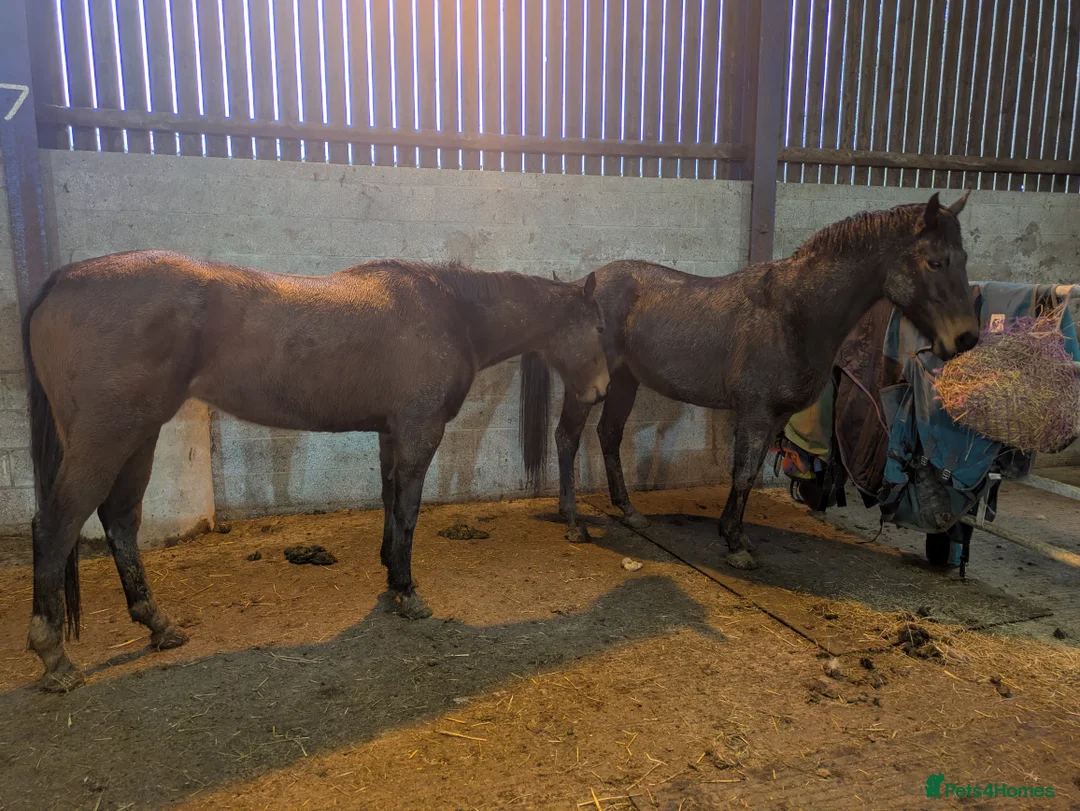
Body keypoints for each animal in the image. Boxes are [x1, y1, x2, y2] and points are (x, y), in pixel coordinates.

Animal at [22, 252, 610, 692]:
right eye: (597, 327)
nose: (602, 391)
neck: (450, 310)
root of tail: (62, 281)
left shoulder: (391, 433)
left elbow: (390, 503)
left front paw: (390, 579)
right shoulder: (420, 432)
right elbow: (409, 510)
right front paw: (408, 593)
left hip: (139, 436)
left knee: (120, 519)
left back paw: (158, 625)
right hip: (107, 437)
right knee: (55, 527)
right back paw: (55, 658)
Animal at [519, 193, 979, 569]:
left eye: (963, 259)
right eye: (935, 261)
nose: (966, 338)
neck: (795, 313)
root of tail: (578, 289)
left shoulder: (775, 417)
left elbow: (752, 472)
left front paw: (732, 532)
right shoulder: (755, 413)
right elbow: (741, 474)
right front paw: (737, 546)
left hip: (624, 382)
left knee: (609, 435)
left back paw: (629, 511)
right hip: (588, 387)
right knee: (567, 438)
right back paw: (573, 522)